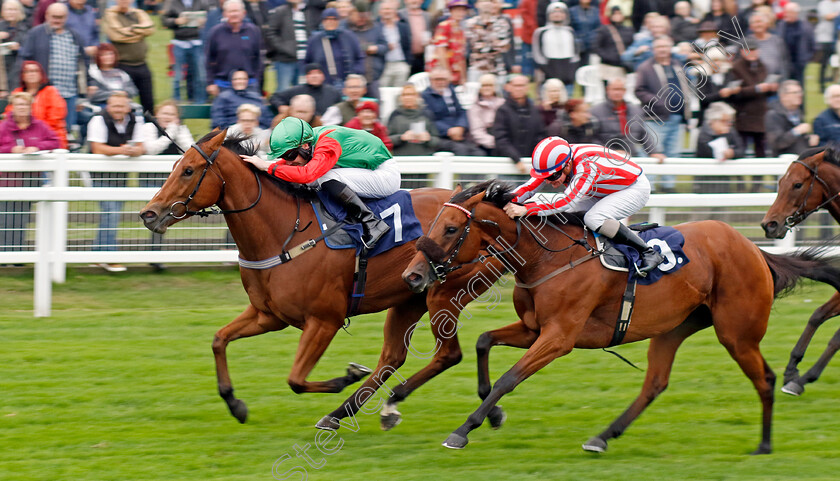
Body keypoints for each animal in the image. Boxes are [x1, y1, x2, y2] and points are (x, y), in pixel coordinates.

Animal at [139, 129, 506, 430]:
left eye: (188, 170)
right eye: (173, 165)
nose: (148, 214)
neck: (284, 232)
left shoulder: (324, 320)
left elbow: (295, 380)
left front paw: (346, 376)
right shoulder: (267, 315)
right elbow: (219, 340)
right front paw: (235, 404)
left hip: (444, 293)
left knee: (447, 355)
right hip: (408, 297)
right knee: (392, 358)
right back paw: (358, 410)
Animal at [398, 180, 840, 454]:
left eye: (450, 228)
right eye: (433, 222)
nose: (413, 275)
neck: (545, 258)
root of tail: (754, 249)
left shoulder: (559, 337)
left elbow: (509, 378)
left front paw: (464, 429)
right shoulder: (534, 329)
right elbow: (483, 341)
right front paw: (492, 415)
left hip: (737, 332)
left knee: (763, 378)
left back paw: (766, 441)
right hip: (674, 328)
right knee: (655, 384)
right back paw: (603, 437)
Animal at [764, 144, 840, 396]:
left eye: (797, 184)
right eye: (779, 183)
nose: (769, 225)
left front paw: (804, 377)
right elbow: (817, 315)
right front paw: (791, 371)